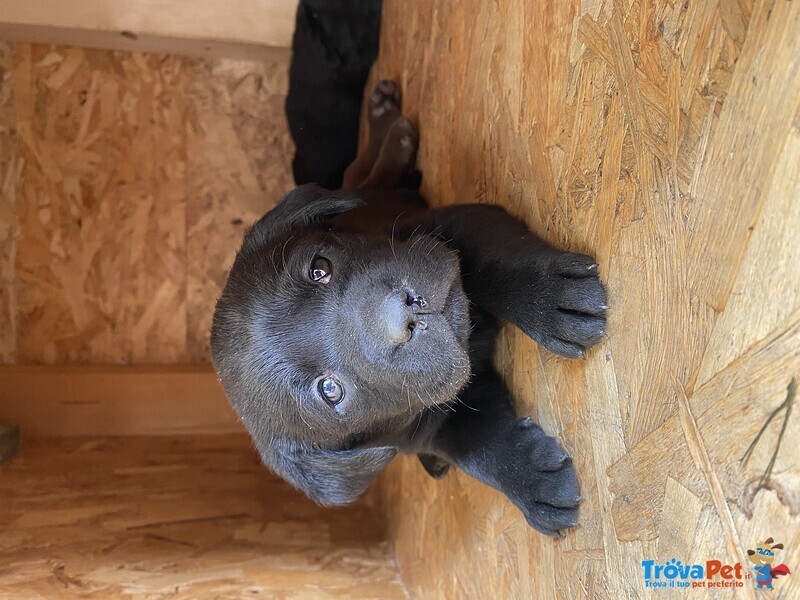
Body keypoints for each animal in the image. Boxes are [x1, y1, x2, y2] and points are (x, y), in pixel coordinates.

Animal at [212, 81, 608, 536]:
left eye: (319, 268)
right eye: (330, 390)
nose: (401, 317)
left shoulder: (438, 228)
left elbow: (492, 263)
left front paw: (551, 299)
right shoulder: (432, 422)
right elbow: (478, 447)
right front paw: (532, 483)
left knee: (363, 180)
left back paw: (388, 126)